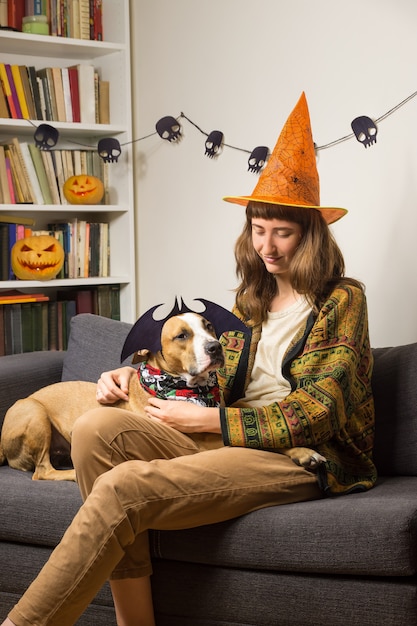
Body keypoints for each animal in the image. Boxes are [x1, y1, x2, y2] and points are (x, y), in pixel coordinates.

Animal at [0, 310, 324, 480]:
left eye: (209, 327)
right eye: (181, 336)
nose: (215, 347)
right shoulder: (206, 443)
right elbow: (258, 442)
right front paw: (303, 452)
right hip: (33, 411)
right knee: (42, 471)